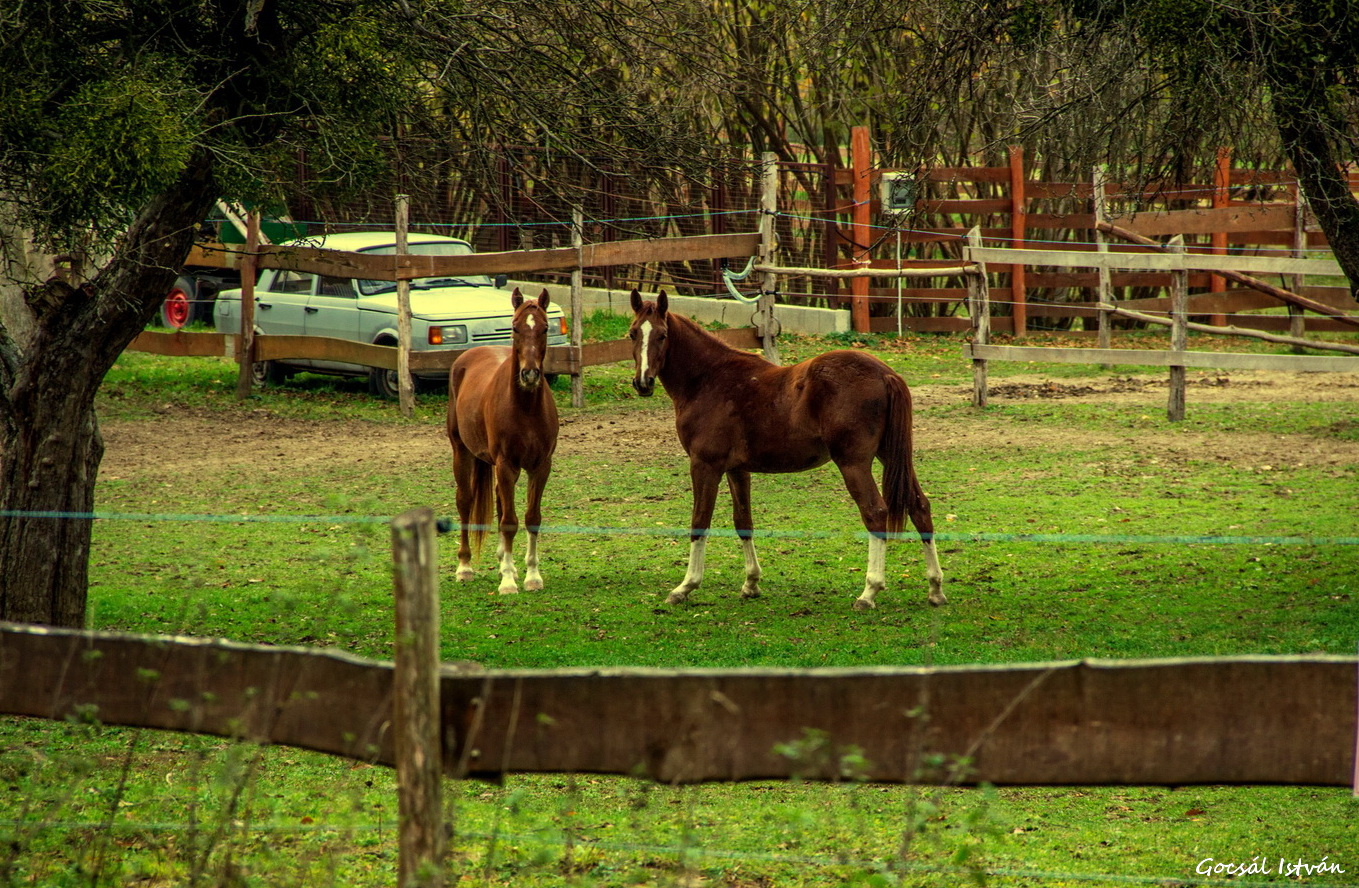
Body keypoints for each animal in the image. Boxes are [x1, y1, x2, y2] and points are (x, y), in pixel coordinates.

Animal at [448, 286, 559, 592]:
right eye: (515, 327)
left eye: (545, 328)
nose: (529, 374)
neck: (525, 408)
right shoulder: (506, 464)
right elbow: (509, 521)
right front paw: (508, 582)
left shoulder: (540, 466)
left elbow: (532, 518)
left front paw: (532, 575)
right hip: (461, 452)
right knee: (465, 501)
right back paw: (465, 567)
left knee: (498, 500)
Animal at [627, 291, 940, 609]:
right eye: (633, 333)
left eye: (663, 335)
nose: (643, 383)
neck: (709, 380)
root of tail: (885, 374)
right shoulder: (737, 470)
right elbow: (743, 521)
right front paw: (751, 583)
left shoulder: (705, 465)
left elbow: (699, 521)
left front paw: (685, 586)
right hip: (891, 457)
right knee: (919, 506)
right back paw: (935, 588)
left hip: (854, 463)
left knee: (875, 512)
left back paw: (869, 592)